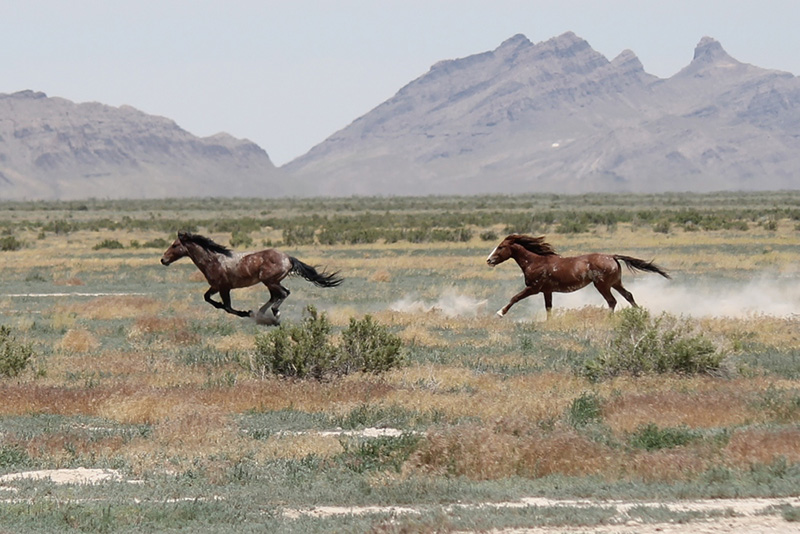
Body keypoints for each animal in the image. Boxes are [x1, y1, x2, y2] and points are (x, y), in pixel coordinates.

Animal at [161, 232, 342, 325]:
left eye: (175, 245)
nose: (163, 260)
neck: (214, 260)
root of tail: (288, 258)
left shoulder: (224, 288)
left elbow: (228, 307)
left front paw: (245, 312)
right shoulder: (215, 287)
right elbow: (207, 298)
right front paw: (227, 307)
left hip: (270, 280)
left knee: (283, 294)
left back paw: (272, 315)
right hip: (271, 282)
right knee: (277, 295)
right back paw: (262, 313)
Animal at [486, 234, 670, 318]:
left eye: (501, 247)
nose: (489, 260)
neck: (535, 261)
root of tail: (612, 256)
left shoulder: (533, 288)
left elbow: (515, 298)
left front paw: (500, 313)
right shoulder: (547, 291)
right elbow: (548, 307)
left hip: (602, 285)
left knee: (612, 301)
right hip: (615, 283)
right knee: (628, 295)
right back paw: (640, 314)